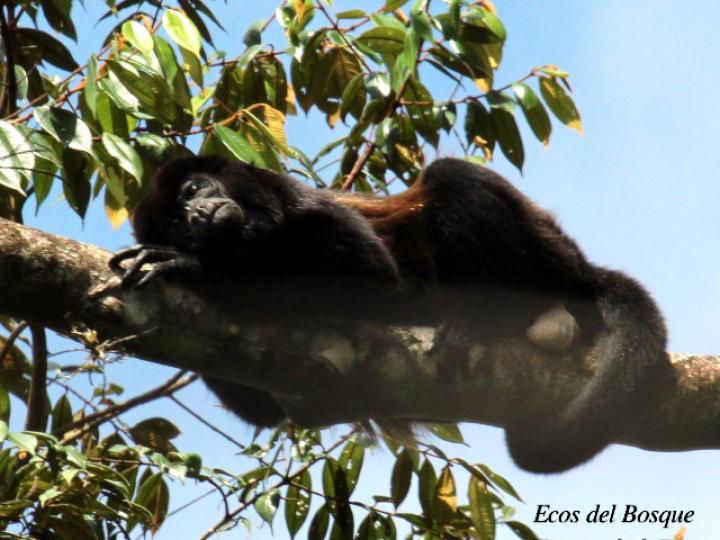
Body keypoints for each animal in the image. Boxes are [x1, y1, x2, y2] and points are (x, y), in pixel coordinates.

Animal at [110, 155, 673, 473]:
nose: (197, 216)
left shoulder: (298, 202)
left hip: (547, 259)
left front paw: (193, 267)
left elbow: (372, 277)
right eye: (177, 222)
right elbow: (264, 410)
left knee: (452, 176)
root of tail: (580, 267)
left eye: (192, 192)